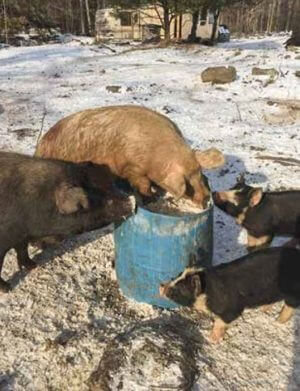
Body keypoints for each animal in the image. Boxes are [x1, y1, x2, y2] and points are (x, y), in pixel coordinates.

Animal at [0, 152, 134, 292]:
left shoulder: (22, 235)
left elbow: (22, 249)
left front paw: (33, 265)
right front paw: (7, 288)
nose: (131, 199)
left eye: (110, 185)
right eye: (107, 200)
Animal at [34, 104, 225, 208]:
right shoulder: (132, 168)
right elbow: (142, 184)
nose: (206, 198)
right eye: (188, 183)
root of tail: (40, 146)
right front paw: (151, 196)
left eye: (200, 174)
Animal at [161, 248, 300, 344]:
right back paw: (264, 310)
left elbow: (221, 321)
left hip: (292, 292)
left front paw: (211, 340)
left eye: (180, 289)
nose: (161, 286)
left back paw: (277, 321)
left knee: (291, 305)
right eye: (176, 276)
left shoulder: (233, 309)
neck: (209, 292)